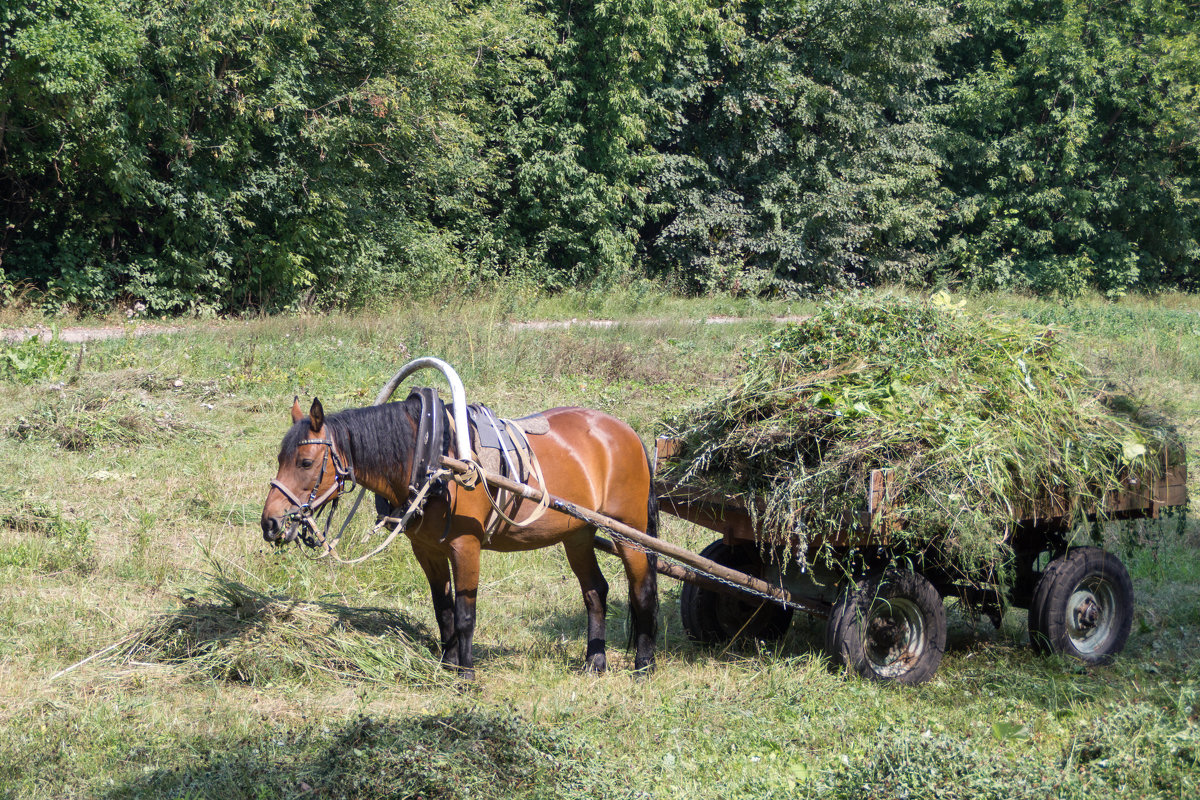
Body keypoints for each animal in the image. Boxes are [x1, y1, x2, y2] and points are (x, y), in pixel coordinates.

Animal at [258, 393, 662, 676]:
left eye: (305, 462)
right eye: (279, 459)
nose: (270, 523)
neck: (431, 460)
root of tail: (626, 432)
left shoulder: (465, 547)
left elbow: (466, 613)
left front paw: (466, 675)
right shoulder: (428, 551)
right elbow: (444, 610)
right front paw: (447, 664)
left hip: (629, 532)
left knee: (642, 591)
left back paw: (644, 664)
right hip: (577, 533)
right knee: (595, 592)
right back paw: (595, 661)